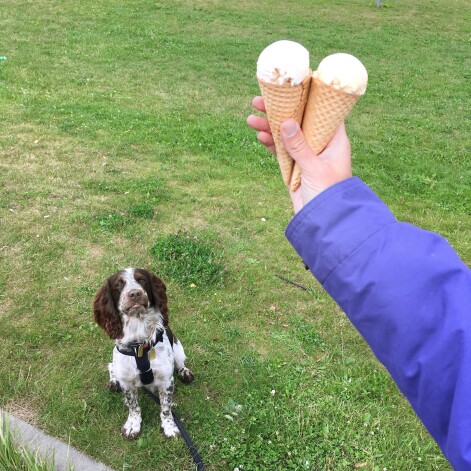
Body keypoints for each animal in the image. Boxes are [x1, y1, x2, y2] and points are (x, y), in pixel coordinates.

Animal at [94, 270, 194, 438]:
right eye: (119, 284)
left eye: (142, 280)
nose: (135, 293)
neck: (139, 345)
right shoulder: (127, 382)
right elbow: (133, 406)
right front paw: (132, 425)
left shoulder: (166, 379)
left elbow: (166, 408)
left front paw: (170, 427)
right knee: (110, 366)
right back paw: (114, 381)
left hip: (178, 348)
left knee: (180, 362)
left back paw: (185, 372)